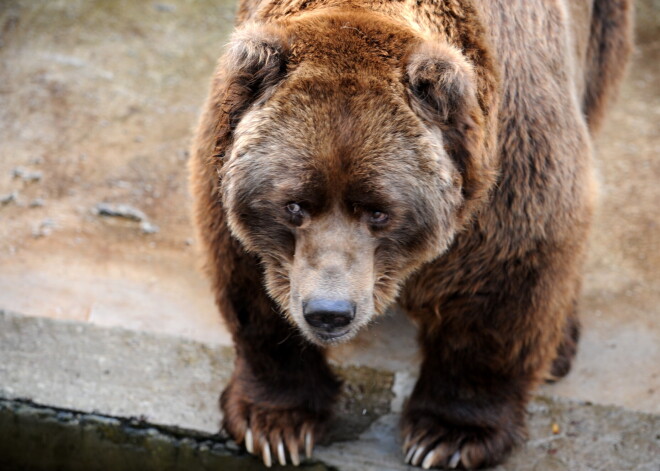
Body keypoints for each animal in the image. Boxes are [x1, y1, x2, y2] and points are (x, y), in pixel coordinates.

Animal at [188, 0, 632, 466]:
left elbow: (503, 282)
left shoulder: (511, 158)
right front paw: (276, 425)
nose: (329, 312)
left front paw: (447, 437)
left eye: (378, 211)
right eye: (294, 204)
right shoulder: (226, 160)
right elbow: (250, 279)